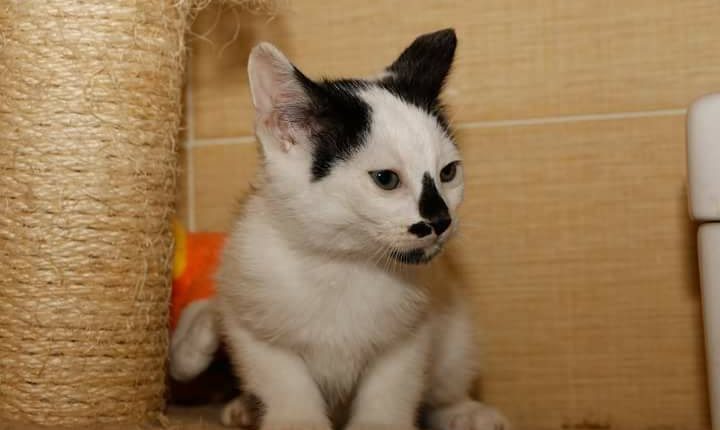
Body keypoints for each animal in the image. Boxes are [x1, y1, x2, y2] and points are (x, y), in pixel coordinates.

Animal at [187, 29, 509, 430]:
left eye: (448, 172)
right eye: (386, 179)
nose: (440, 221)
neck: (342, 264)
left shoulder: (410, 333)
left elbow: (392, 386)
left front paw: (381, 422)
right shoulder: (247, 309)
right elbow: (282, 377)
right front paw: (296, 419)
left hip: (457, 337)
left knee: (446, 381)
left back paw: (463, 411)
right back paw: (245, 408)